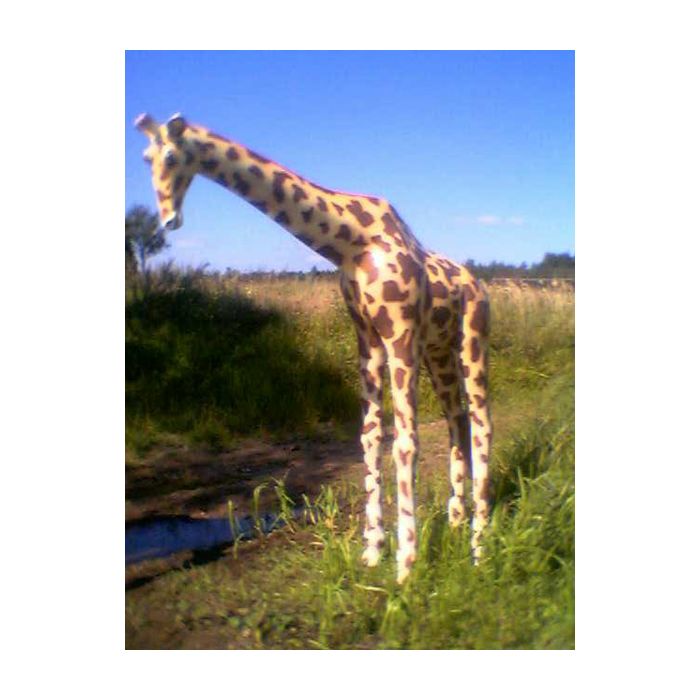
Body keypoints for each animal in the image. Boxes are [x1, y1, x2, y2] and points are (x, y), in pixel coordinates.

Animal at [135, 113, 493, 583]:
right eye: (146, 158)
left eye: (173, 157)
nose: (168, 219)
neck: (354, 244)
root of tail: (479, 284)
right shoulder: (368, 340)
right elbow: (370, 436)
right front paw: (372, 553)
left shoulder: (400, 335)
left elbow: (405, 442)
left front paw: (406, 569)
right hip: (438, 351)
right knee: (458, 420)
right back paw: (455, 526)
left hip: (472, 339)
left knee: (483, 419)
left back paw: (481, 547)